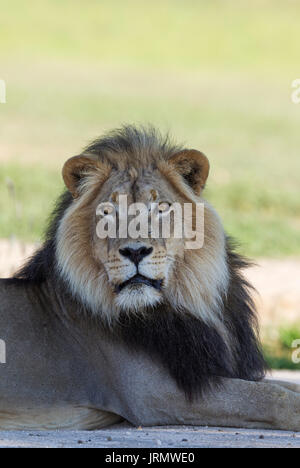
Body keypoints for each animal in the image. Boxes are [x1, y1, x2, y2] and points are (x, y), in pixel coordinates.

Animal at [0, 125, 300, 432]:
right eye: (108, 212)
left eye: (161, 208)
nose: (135, 251)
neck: (188, 301)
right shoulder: (157, 394)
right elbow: (274, 398)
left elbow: (282, 387)